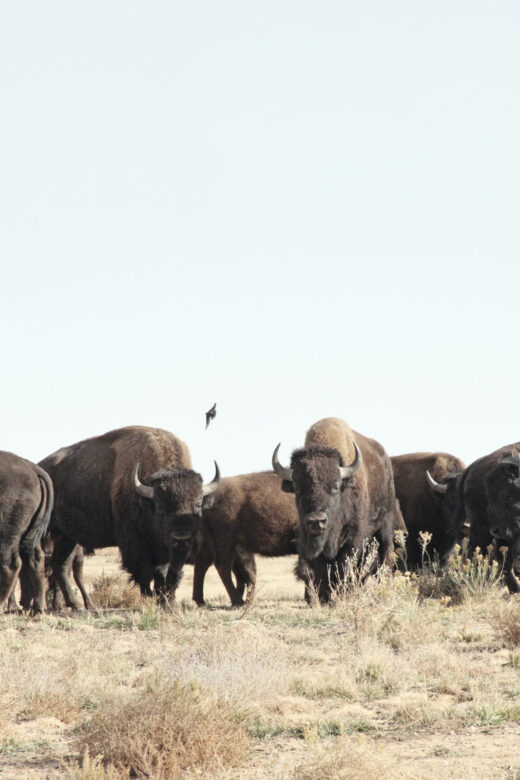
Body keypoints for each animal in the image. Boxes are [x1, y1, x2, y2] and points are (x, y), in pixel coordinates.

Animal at [0, 450, 53, 616]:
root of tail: (31, 467)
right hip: (30, 534)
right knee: (35, 559)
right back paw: (38, 608)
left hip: (7, 534)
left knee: (11, 564)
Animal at [39, 426, 219, 608]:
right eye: (160, 506)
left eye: (198, 504)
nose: (181, 538)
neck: (146, 500)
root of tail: (41, 467)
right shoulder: (135, 545)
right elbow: (145, 573)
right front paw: (149, 598)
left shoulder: (168, 552)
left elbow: (167, 573)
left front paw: (166, 600)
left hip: (67, 537)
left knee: (60, 566)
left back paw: (75, 605)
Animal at [194, 472, 300, 608]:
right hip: (225, 542)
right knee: (222, 567)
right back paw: (238, 601)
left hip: (213, 544)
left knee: (203, 564)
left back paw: (201, 601)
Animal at [272, 418, 398, 600]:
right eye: (297, 487)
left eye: (335, 486)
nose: (316, 521)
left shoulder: (355, 538)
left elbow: (346, 566)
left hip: (385, 525)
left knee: (385, 557)